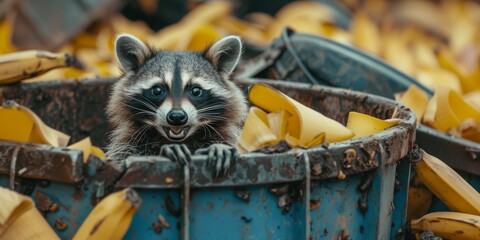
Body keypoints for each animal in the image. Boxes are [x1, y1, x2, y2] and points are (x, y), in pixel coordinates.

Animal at [105, 33, 248, 175]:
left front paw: (218, 147)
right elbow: (124, 158)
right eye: (157, 90)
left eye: (196, 91)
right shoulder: (129, 141)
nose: (177, 116)